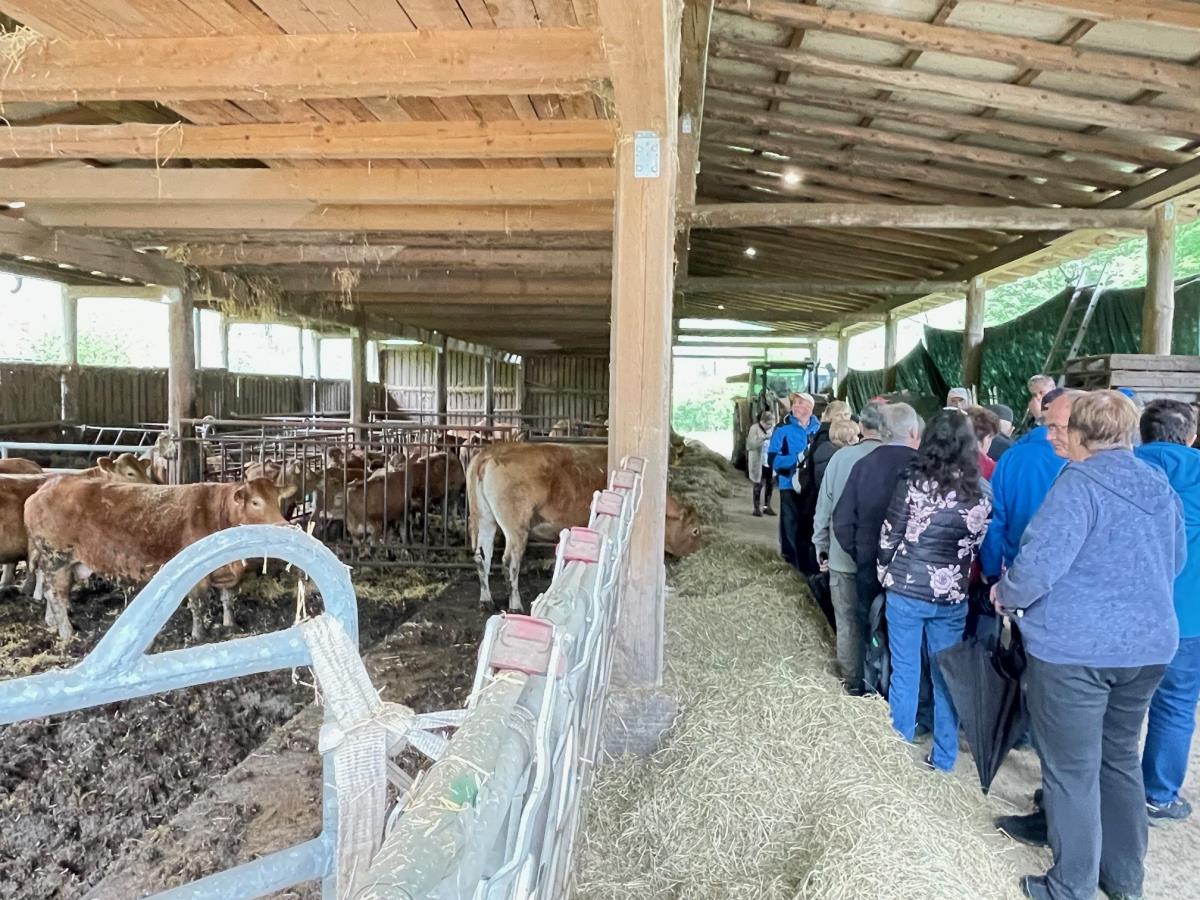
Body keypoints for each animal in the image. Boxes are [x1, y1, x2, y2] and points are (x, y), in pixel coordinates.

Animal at [24, 477, 295, 641]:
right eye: (256, 502)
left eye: (278, 499)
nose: (284, 526)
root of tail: (44, 488)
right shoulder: (197, 576)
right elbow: (199, 605)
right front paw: (199, 635)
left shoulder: (226, 573)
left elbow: (228, 599)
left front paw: (230, 625)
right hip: (56, 558)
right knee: (56, 595)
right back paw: (67, 633)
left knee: (50, 592)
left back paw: (53, 623)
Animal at [467, 443, 703, 611]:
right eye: (695, 530)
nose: (696, 552)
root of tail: (490, 453)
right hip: (516, 525)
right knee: (509, 563)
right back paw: (515, 604)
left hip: (484, 519)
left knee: (482, 557)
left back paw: (486, 600)